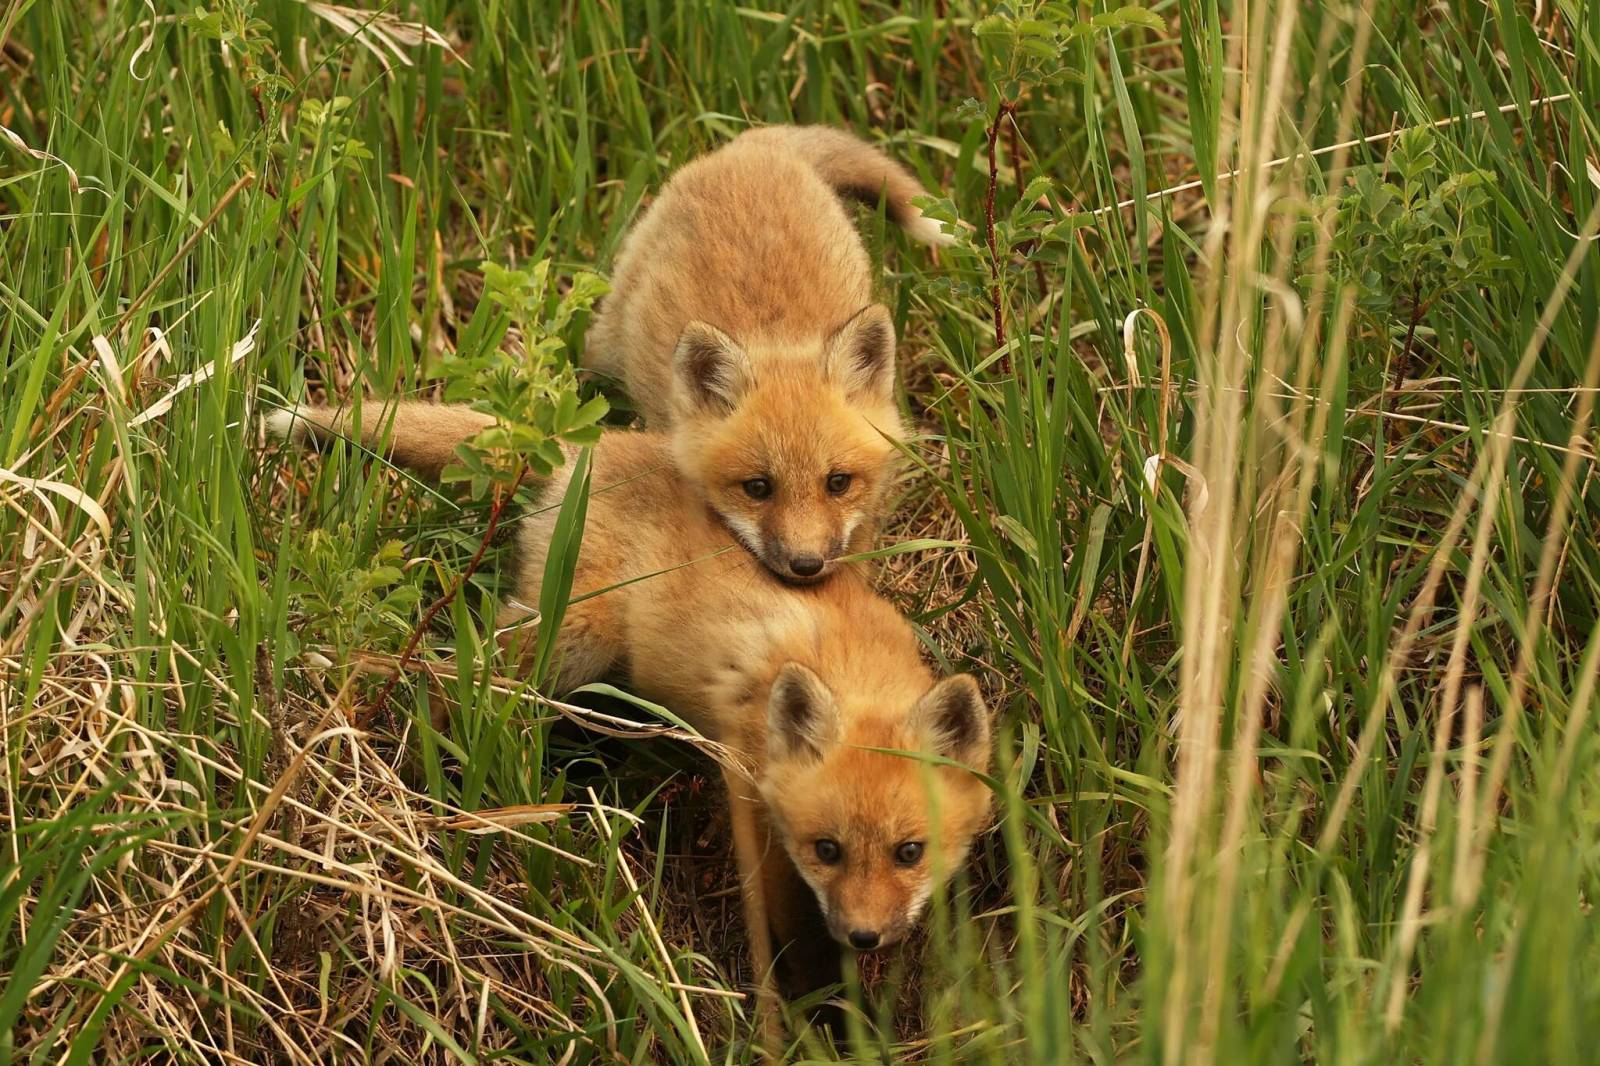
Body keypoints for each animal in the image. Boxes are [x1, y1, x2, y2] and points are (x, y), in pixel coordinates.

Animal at [267, 401, 993, 1002]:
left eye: (909, 852)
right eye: (828, 850)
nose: (866, 937)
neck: (847, 662)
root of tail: (596, 443)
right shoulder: (750, 793)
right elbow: (788, 932)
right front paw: (820, 1013)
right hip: (572, 635)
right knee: (457, 681)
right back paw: (431, 777)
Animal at [583, 125, 953, 584]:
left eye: (838, 483)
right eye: (758, 488)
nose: (806, 565)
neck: (778, 337)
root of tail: (756, 144)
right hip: (604, 344)